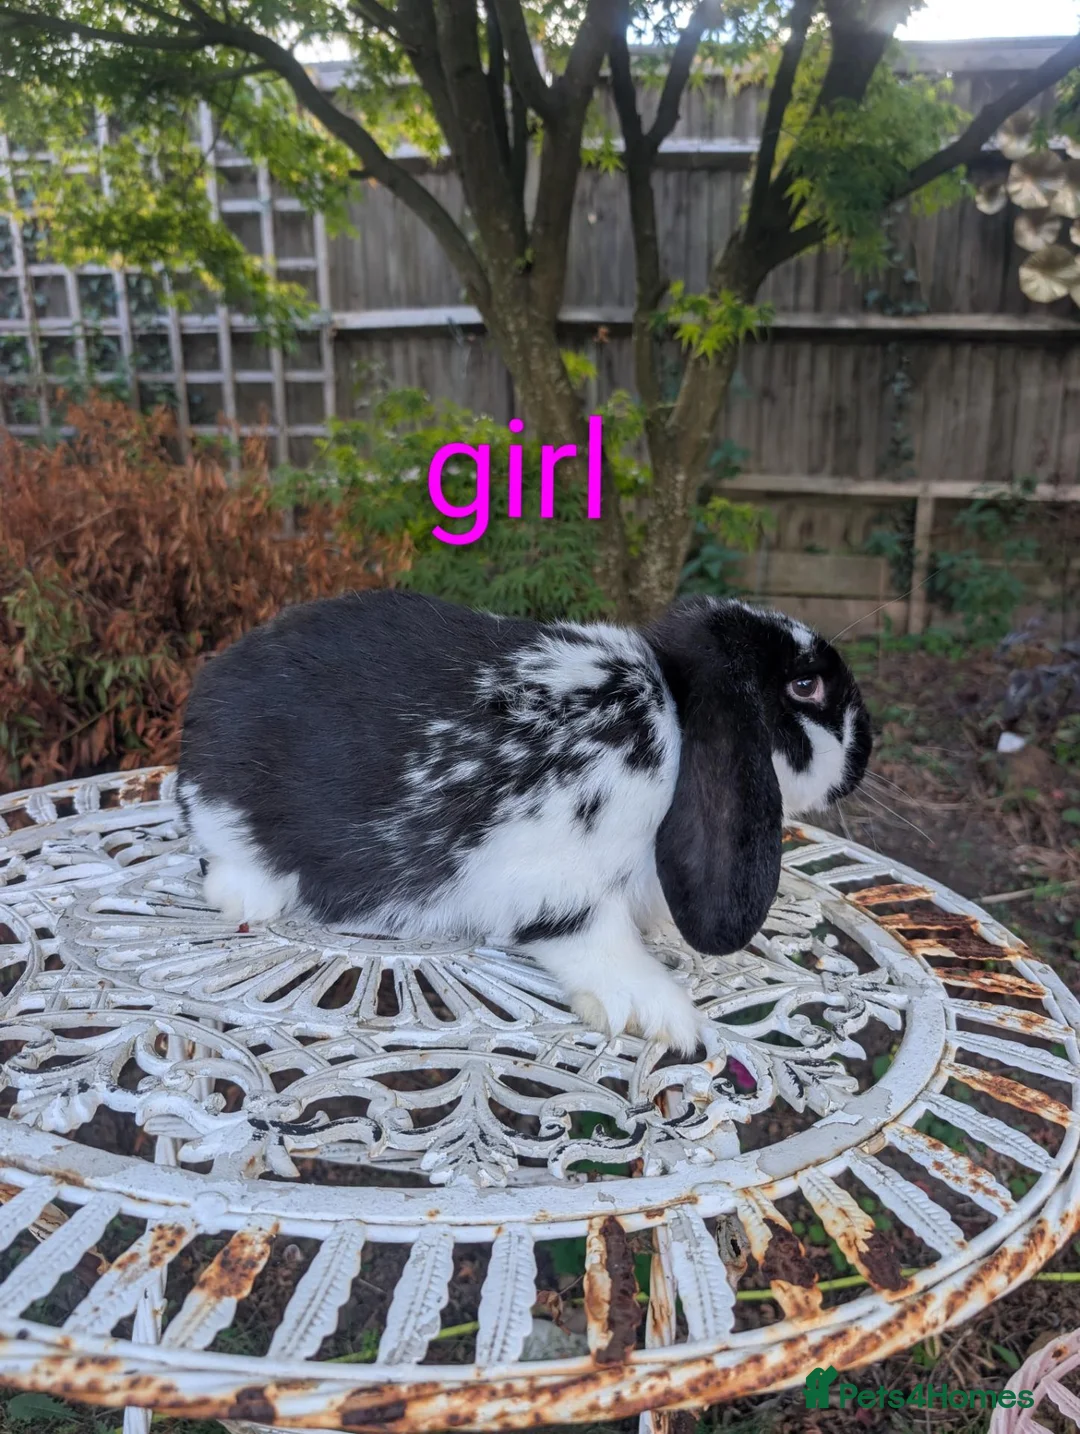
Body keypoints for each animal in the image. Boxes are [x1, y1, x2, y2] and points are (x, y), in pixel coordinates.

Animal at [177, 589, 871, 1055]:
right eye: (805, 687)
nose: (866, 751)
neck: (676, 719)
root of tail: (208, 687)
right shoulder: (559, 883)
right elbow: (601, 944)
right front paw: (663, 1015)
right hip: (225, 815)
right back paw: (253, 895)